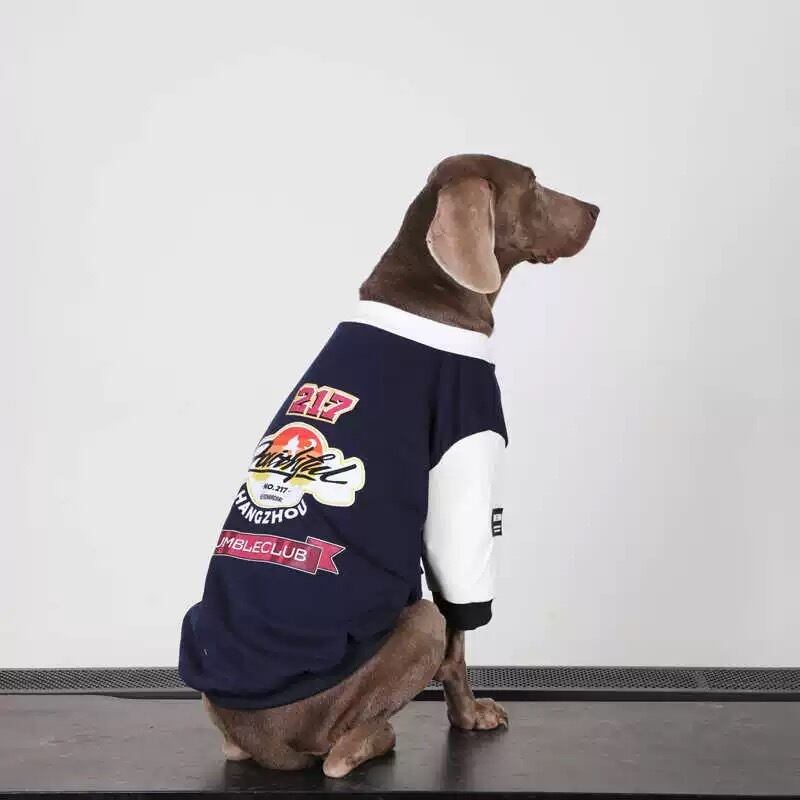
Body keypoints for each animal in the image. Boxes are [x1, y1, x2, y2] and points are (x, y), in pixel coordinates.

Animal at [178, 153, 599, 778]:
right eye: (533, 183)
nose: (596, 209)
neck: (425, 294)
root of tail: (265, 741)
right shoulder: (464, 463)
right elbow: (461, 631)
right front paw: (470, 716)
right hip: (414, 623)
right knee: (338, 753)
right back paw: (375, 740)